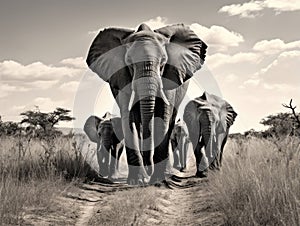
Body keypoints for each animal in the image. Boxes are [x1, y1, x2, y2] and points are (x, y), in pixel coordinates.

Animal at [86, 23, 206, 185]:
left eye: (163, 62)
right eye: (129, 62)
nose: (149, 169)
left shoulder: (169, 78)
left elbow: (163, 116)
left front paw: (157, 181)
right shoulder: (122, 78)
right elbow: (128, 117)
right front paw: (138, 181)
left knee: (170, 119)